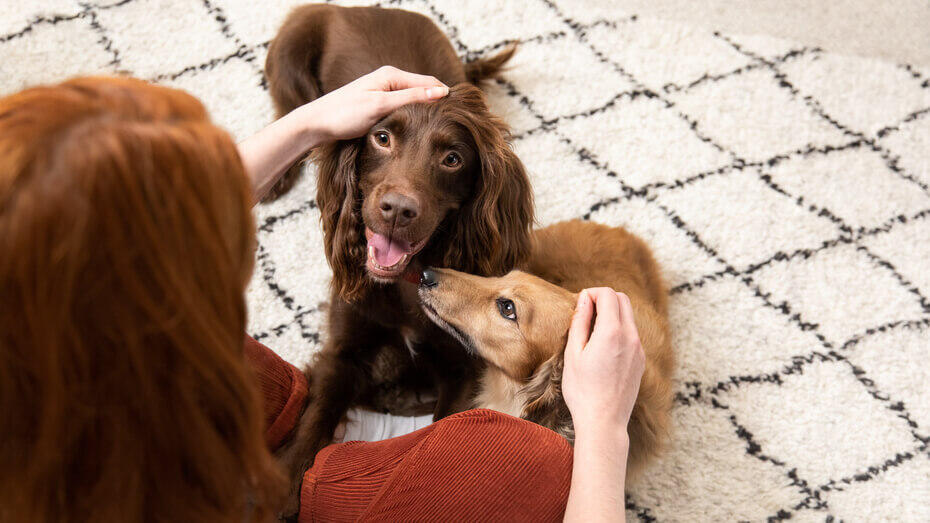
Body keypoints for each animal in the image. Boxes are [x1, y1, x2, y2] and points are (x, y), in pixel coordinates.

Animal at [264, 4, 532, 516]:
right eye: (382, 138)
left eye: (452, 159)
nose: (397, 210)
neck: (405, 283)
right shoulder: (344, 350)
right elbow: (314, 418)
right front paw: (280, 491)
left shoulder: (461, 369)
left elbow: (439, 429)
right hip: (291, 52)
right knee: (295, 112)